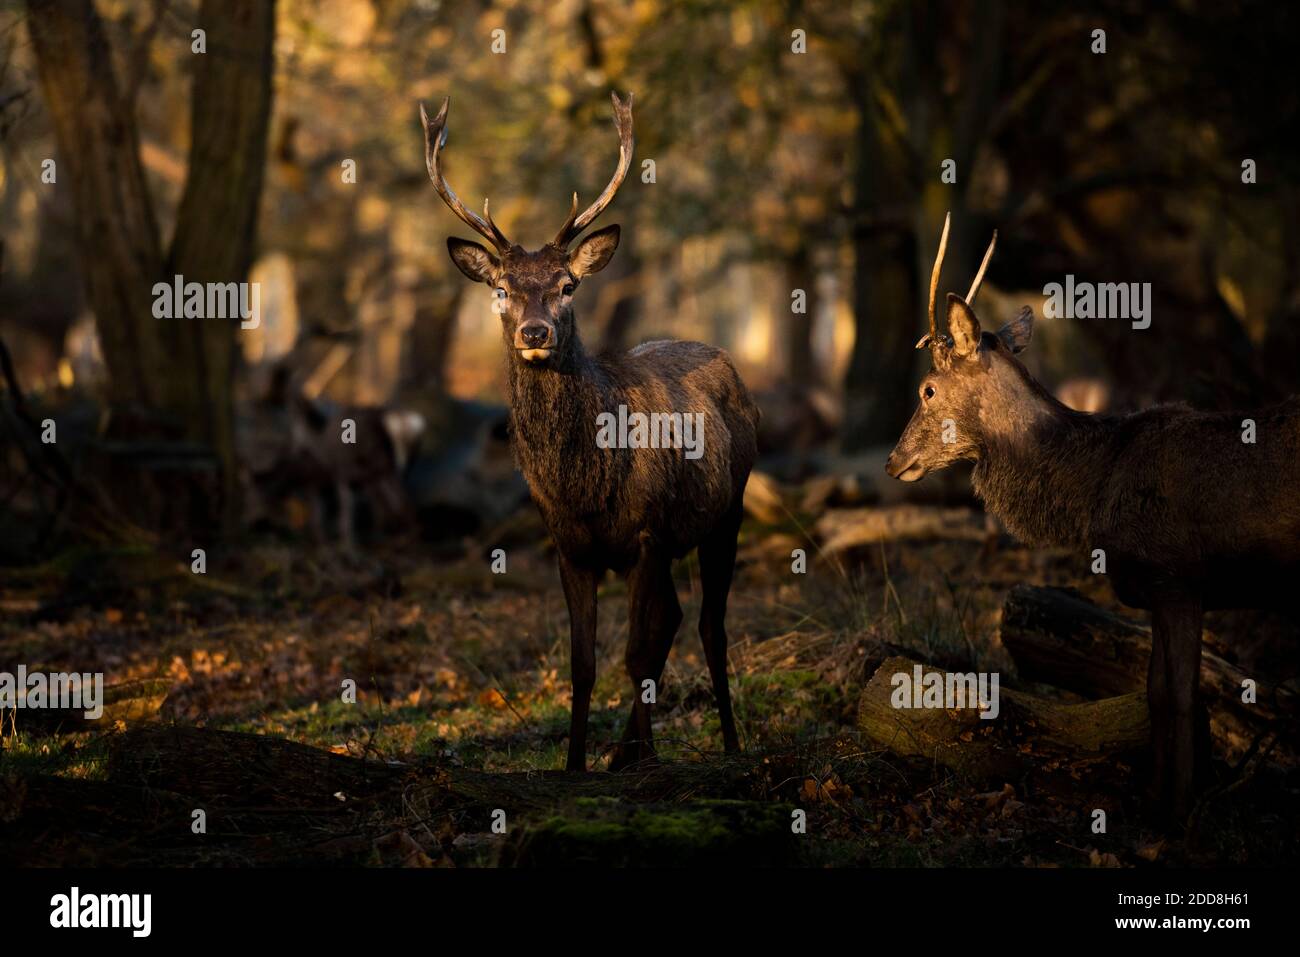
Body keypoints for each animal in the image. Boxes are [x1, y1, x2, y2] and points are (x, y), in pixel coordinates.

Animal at [419, 92, 759, 772]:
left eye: (568, 285)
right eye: (502, 289)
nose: (536, 331)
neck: (585, 482)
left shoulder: (647, 533)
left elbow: (634, 655)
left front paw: (650, 763)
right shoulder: (570, 546)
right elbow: (583, 664)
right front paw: (577, 765)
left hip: (729, 510)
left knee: (709, 627)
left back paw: (729, 746)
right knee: (676, 618)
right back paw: (623, 752)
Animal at [885, 213, 1300, 820]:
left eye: (928, 388)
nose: (893, 460)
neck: (1097, 484)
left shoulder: (1178, 578)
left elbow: (1181, 697)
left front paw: (1179, 810)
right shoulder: (1158, 590)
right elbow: (1153, 693)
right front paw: (1153, 795)